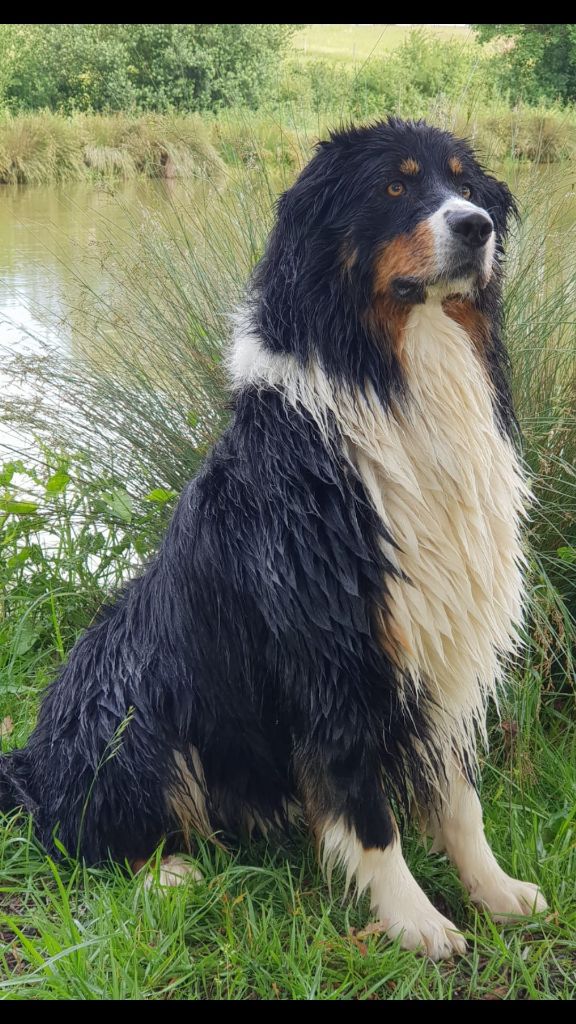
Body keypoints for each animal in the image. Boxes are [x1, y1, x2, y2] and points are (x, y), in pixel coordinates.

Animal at [0, 118, 547, 959]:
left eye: (465, 184)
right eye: (394, 185)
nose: (475, 227)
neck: (394, 378)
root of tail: (31, 758)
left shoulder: (441, 644)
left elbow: (459, 801)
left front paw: (495, 892)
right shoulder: (335, 655)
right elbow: (367, 815)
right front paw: (416, 923)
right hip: (130, 704)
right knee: (77, 831)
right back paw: (169, 873)